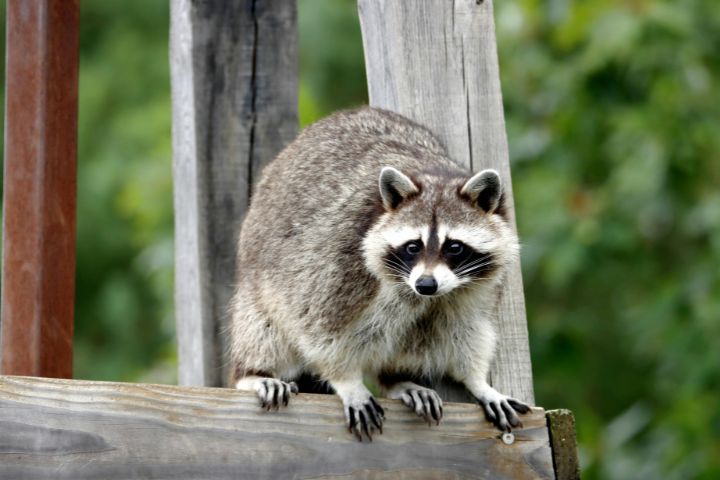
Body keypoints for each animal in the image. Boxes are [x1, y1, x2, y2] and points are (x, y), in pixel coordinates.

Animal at [230, 107, 530, 441]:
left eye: (454, 247)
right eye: (413, 246)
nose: (426, 284)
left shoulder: (472, 289)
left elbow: (468, 330)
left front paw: (477, 381)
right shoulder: (338, 261)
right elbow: (319, 328)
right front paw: (347, 380)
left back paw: (397, 379)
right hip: (258, 285)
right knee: (263, 329)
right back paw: (253, 372)